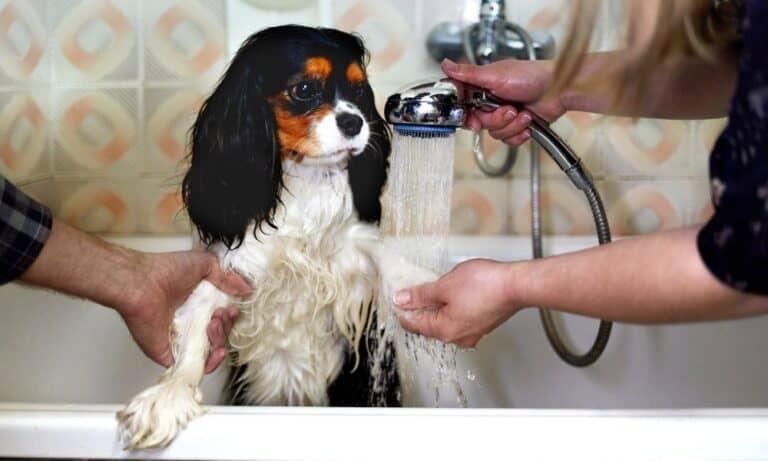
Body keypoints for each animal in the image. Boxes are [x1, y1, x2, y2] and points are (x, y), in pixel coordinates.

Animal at [116, 26, 436, 450]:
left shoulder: (349, 259)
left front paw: (422, 282)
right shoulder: (231, 269)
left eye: (358, 91)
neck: (303, 181)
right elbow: (195, 329)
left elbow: (379, 251)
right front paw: (167, 398)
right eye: (305, 89)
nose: (355, 122)